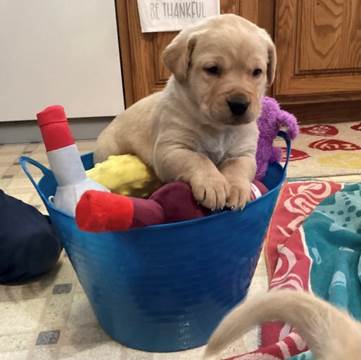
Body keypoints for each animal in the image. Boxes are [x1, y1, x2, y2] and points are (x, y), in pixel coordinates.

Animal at [94, 14, 274, 211]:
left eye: (257, 72)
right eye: (212, 69)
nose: (239, 104)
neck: (217, 128)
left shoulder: (244, 153)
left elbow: (237, 166)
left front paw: (237, 189)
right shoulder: (171, 149)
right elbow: (198, 158)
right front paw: (214, 185)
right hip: (109, 150)